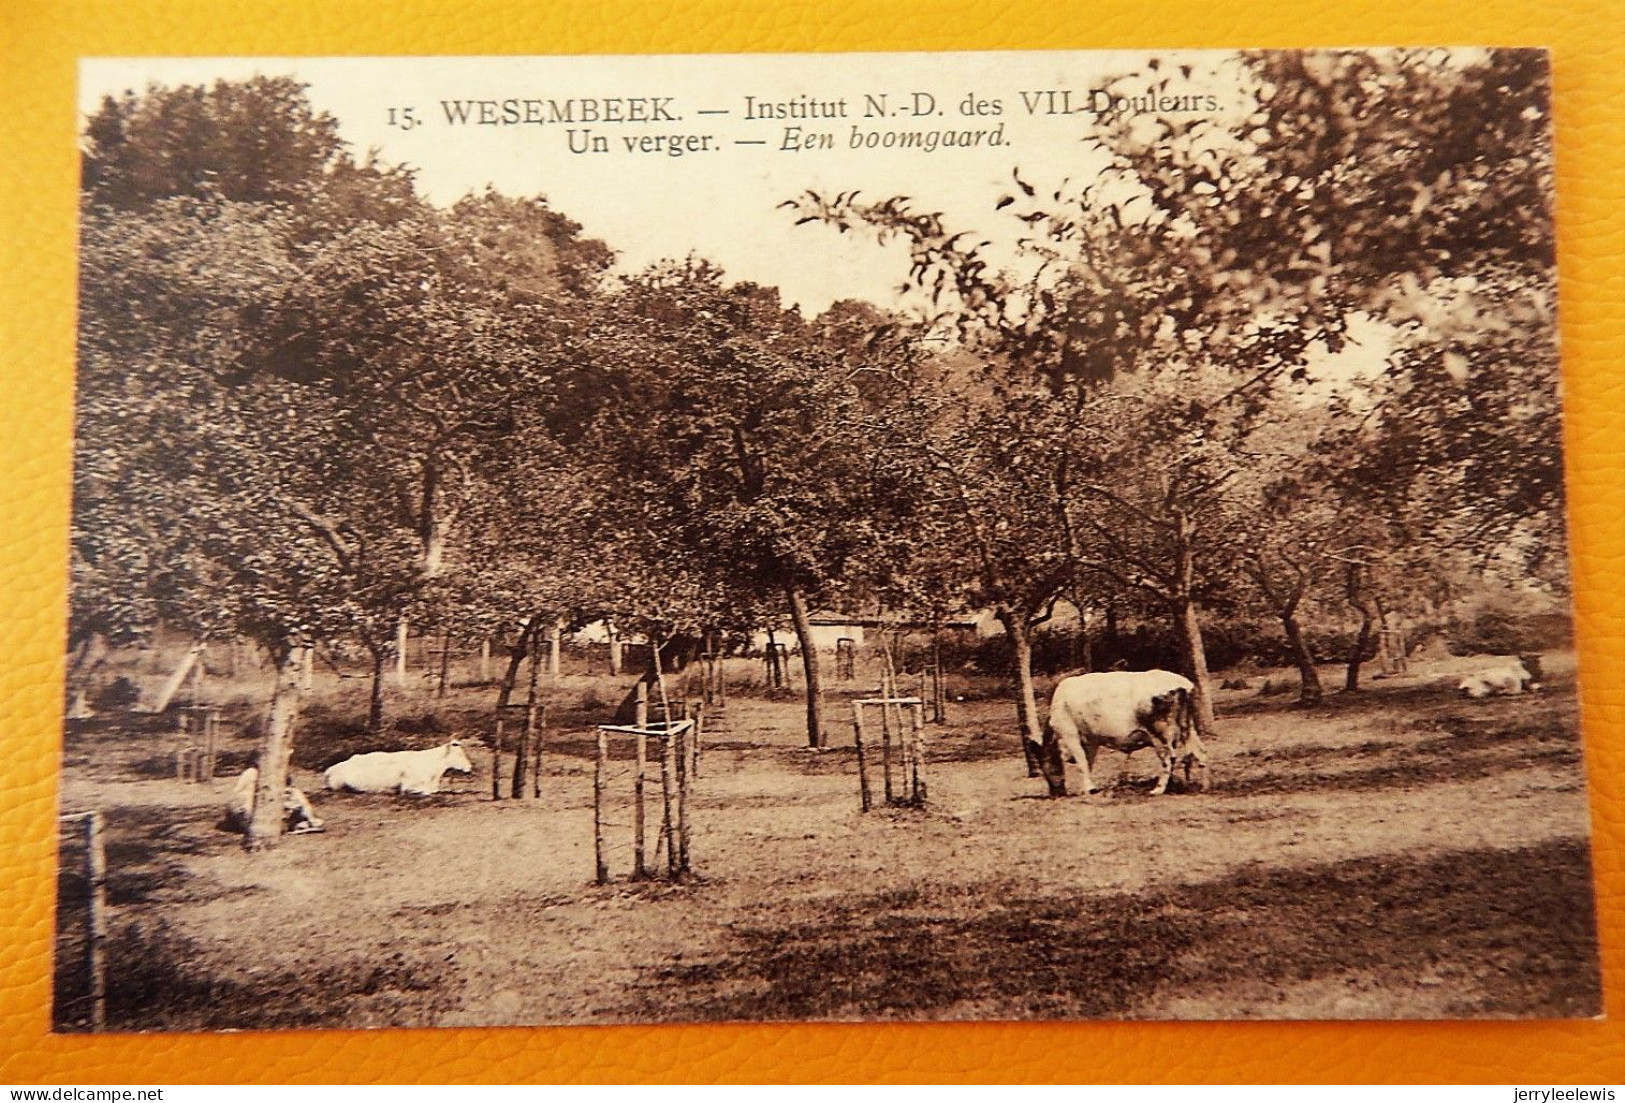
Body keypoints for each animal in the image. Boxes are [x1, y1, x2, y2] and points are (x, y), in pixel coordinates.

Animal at [1040, 669, 1209, 799]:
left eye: (1044, 767)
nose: (1055, 793)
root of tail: (1183, 684)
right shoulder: (1092, 740)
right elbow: (1089, 761)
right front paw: (1088, 789)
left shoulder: (1069, 733)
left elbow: (1081, 761)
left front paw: (1088, 789)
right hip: (1187, 727)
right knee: (1201, 752)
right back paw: (1204, 786)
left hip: (1160, 733)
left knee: (1169, 758)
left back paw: (1157, 790)